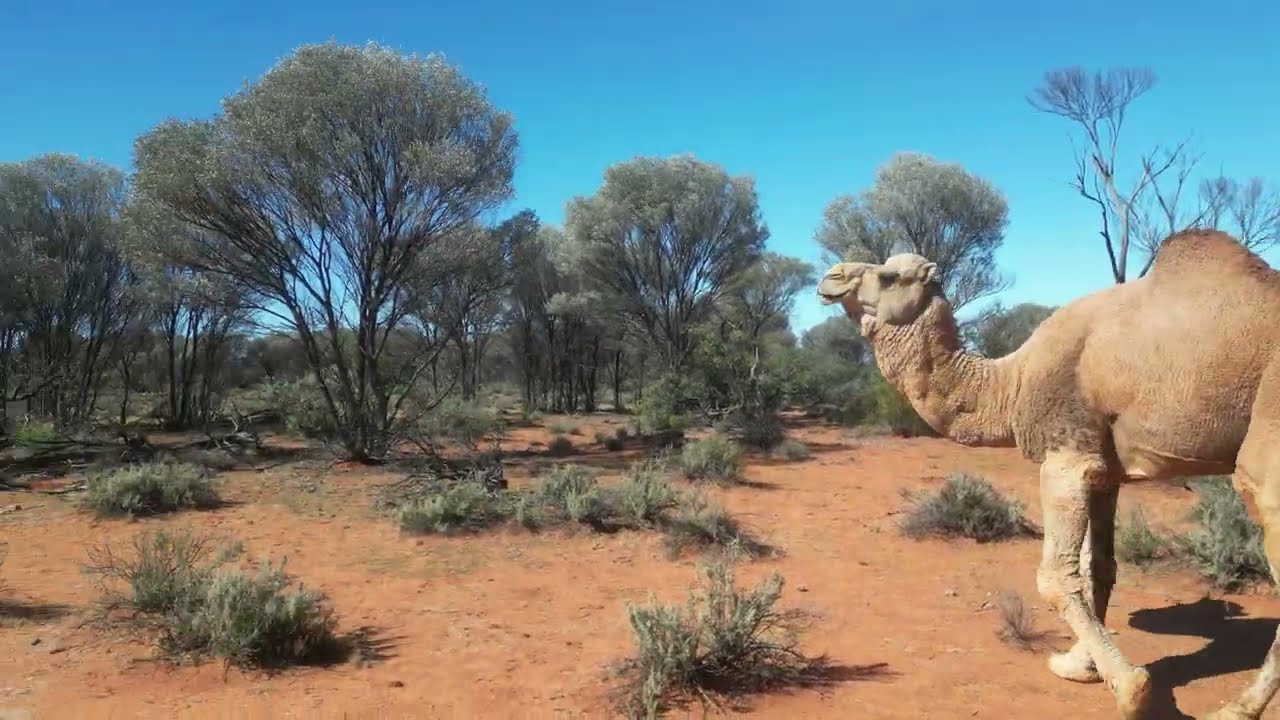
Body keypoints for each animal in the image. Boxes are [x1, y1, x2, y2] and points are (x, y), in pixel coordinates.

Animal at [816, 228, 1280, 720]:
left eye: (889, 275)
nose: (832, 276)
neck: (1011, 383)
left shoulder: (1065, 459)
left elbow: (1055, 575)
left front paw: (1132, 691)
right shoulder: (1104, 469)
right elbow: (1098, 566)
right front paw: (1080, 666)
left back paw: (1236, 709)